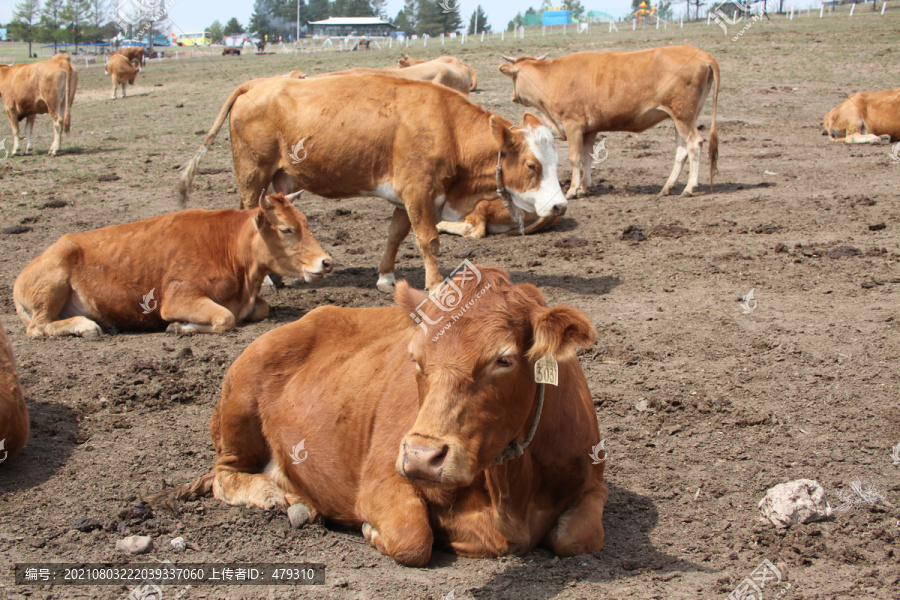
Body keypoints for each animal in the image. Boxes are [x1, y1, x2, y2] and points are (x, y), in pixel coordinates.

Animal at [14, 192, 332, 338]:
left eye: (306, 222)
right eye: (286, 229)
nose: (326, 262)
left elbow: (260, 308)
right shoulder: (179, 296)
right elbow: (225, 318)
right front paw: (179, 327)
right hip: (53, 282)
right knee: (39, 326)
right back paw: (85, 325)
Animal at [176, 268, 608, 568]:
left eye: (504, 360)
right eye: (414, 357)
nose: (421, 457)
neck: (508, 489)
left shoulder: (594, 484)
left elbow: (578, 538)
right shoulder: (381, 479)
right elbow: (413, 538)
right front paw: (371, 531)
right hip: (239, 402)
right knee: (225, 475)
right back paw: (272, 494)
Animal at [179, 75, 568, 292]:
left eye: (555, 162)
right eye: (532, 164)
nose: (559, 206)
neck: (448, 129)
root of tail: (257, 84)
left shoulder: (404, 198)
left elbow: (395, 236)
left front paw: (385, 278)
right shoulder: (418, 193)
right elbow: (428, 240)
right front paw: (435, 285)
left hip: (277, 180)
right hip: (252, 175)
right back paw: (272, 281)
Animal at [496, 47, 720, 197]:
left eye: (513, 78)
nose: (512, 96)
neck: (552, 78)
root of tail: (701, 53)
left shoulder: (572, 124)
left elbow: (575, 158)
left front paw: (572, 190)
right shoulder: (589, 130)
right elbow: (587, 158)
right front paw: (585, 187)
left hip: (684, 116)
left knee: (694, 144)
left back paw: (689, 187)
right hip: (680, 118)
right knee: (682, 150)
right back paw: (667, 187)